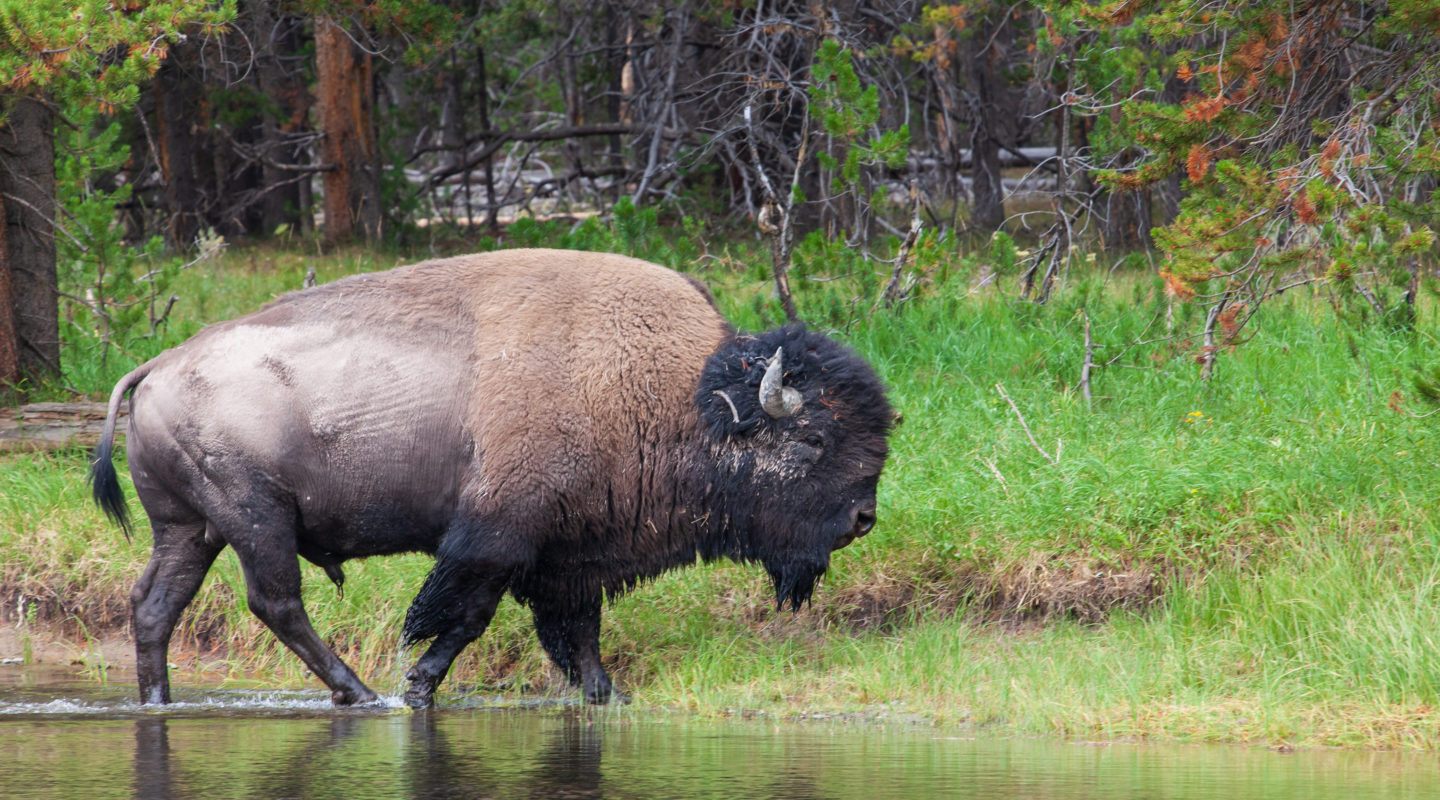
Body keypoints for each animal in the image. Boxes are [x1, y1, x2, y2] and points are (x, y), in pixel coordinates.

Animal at [92, 248, 887, 705]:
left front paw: (607, 696)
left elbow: (578, 634)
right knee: (276, 602)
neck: (680, 398)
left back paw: (159, 701)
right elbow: (465, 617)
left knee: (155, 605)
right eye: (815, 437)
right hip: (255, 517)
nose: (863, 519)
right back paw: (360, 694)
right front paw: (416, 688)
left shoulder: (572, 556)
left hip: (190, 527)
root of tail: (158, 365)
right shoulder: (500, 537)